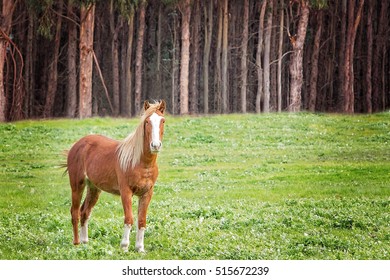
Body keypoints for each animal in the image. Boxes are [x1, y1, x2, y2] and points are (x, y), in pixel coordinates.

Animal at [64, 100, 165, 252]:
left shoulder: (147, 193)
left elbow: (142, 220)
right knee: (75, 212)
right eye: (147, 122)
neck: (141, 163)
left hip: (93, 188)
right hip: (77, 185)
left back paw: (85, 242)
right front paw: (124, 247)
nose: (156, 145)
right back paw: (76, 243)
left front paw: (140, 248)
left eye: (162, 121)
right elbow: (129, 218)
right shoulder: (126, 192)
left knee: (85, 212)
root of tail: (77, 145)